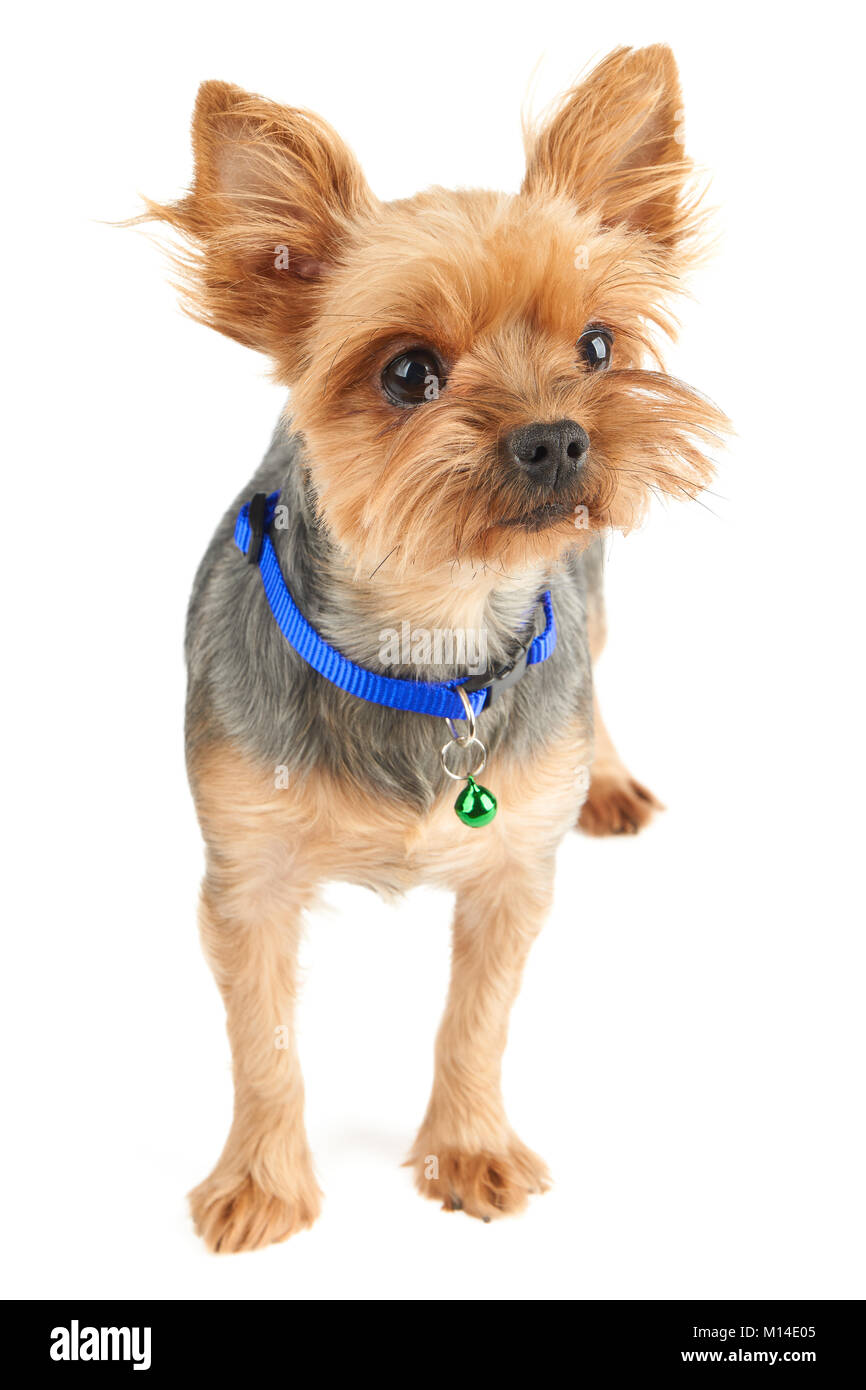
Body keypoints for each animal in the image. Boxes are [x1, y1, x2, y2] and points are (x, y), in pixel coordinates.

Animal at [145, 46, 728, 1262]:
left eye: (597, 345)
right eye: (408, 373)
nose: (558, 436)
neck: (431, 633)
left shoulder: (513, 876)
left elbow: (476, 1020)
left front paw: (467, 1148)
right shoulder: (245, 877)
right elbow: (264, 1044)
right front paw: (262, 1182)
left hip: (593, 587)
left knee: (597, 668)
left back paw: (605, 776)